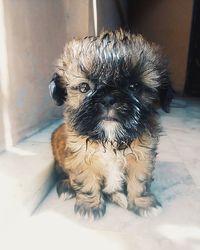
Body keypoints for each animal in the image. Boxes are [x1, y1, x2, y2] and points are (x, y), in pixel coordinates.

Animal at [49, 29, 171, 219]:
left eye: (134, 86)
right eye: (84, 87)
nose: (108, 99)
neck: (109, 139)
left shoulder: (142, 157)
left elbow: (139, 181)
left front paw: (143, 203)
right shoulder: (80, 157)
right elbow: (86, 181)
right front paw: (89, 207)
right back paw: (67, 188)